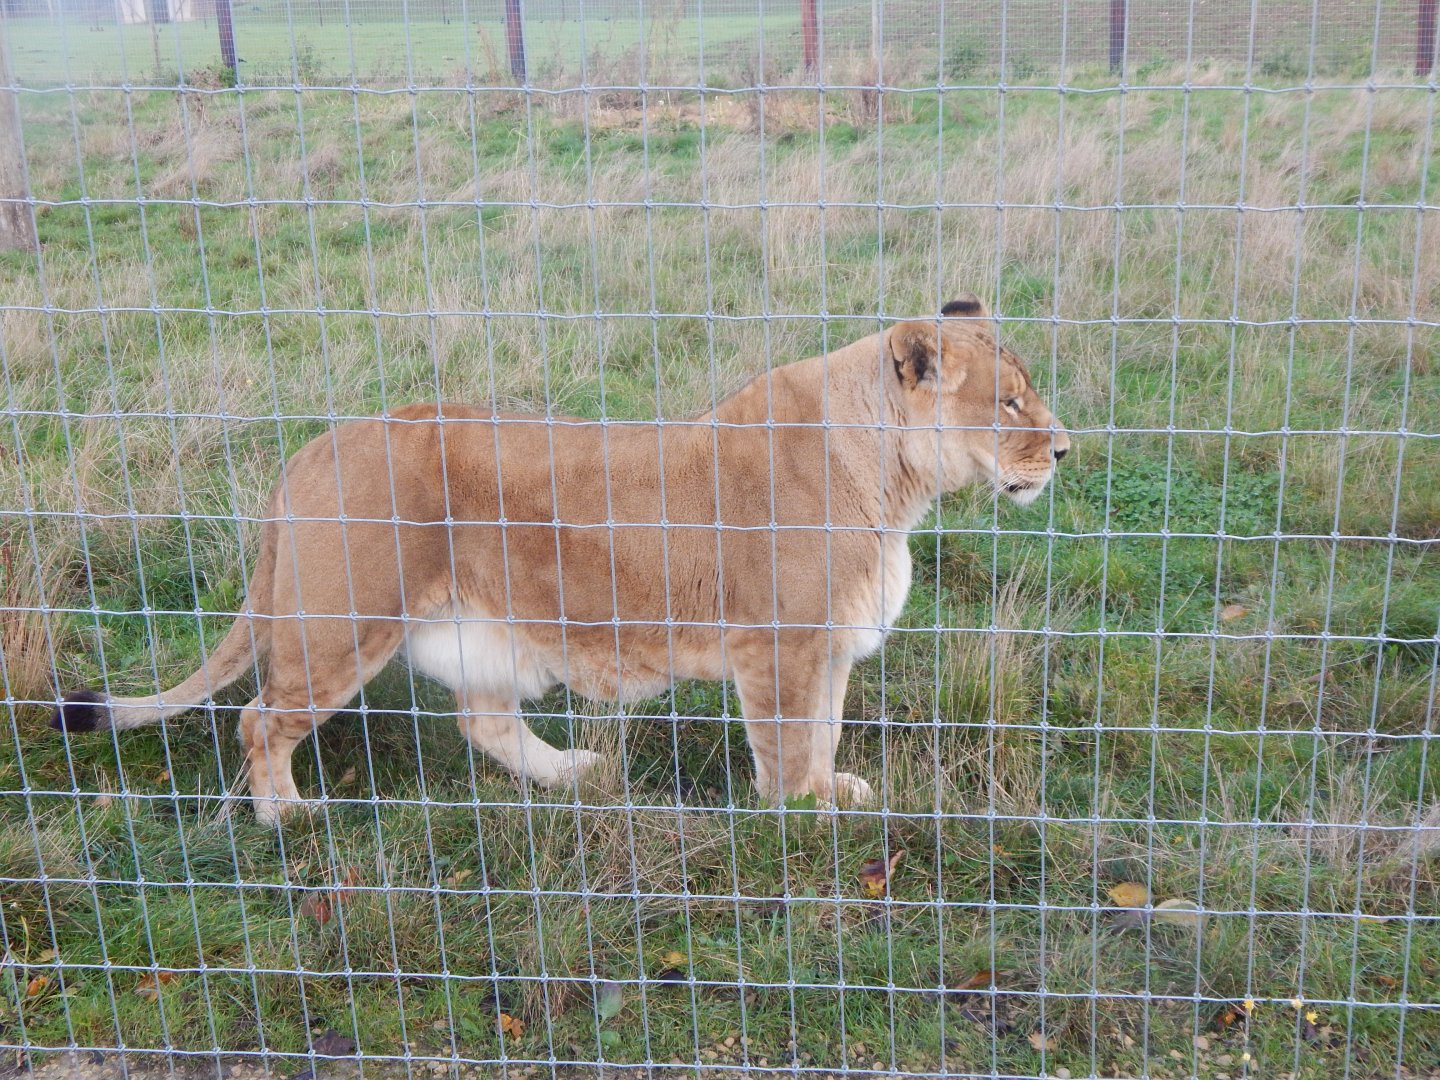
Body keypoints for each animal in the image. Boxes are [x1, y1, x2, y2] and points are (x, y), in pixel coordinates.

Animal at [52, 295, 1069, 822]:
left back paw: (574, 772)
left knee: (483, 723)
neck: (897, 483)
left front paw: (835, 792)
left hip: (474, 629)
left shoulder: (827, 647)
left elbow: (824, 727)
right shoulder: (779, 645)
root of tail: (305, 455)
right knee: (258, 719)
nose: (1064, 451)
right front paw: (800, 822)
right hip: (341, 625)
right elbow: (787, 741)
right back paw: (287, 815)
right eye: (1008, 402)